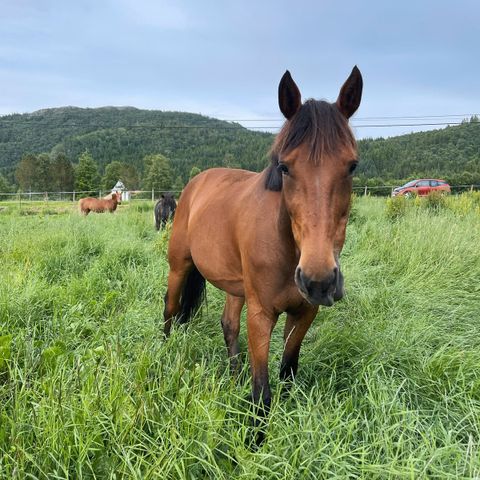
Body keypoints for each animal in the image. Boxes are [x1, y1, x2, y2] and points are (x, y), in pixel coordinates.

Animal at [163, 65, 362, 436]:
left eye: (352, 166)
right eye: (285, 167)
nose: (318, 280)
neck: (286, 248)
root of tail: (196, 183)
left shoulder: (305, 312)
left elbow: (287, 373)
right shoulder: (260, 315)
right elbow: (262, 393)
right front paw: (255, 438)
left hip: (236, 285)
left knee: (228, 325)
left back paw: (233, 376)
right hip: (178, 267)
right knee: (169, 310)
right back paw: (165, 352)